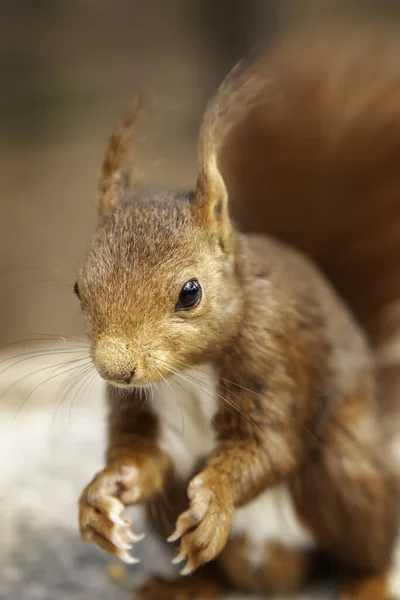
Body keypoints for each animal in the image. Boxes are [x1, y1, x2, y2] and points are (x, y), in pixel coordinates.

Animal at [76, 27, 400, 600]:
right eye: (77, 289)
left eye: (190, 293)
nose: (114, 369)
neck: (185, 373)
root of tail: (275, 565)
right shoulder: (143, 410)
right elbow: (143, 455)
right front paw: (102, 493)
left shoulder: (272, 357)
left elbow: (267, 446)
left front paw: (216, 500)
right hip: (172, 512)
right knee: (212, 571)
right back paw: (182, 586)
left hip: (347, 469)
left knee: (368, 543)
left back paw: (368, 582)